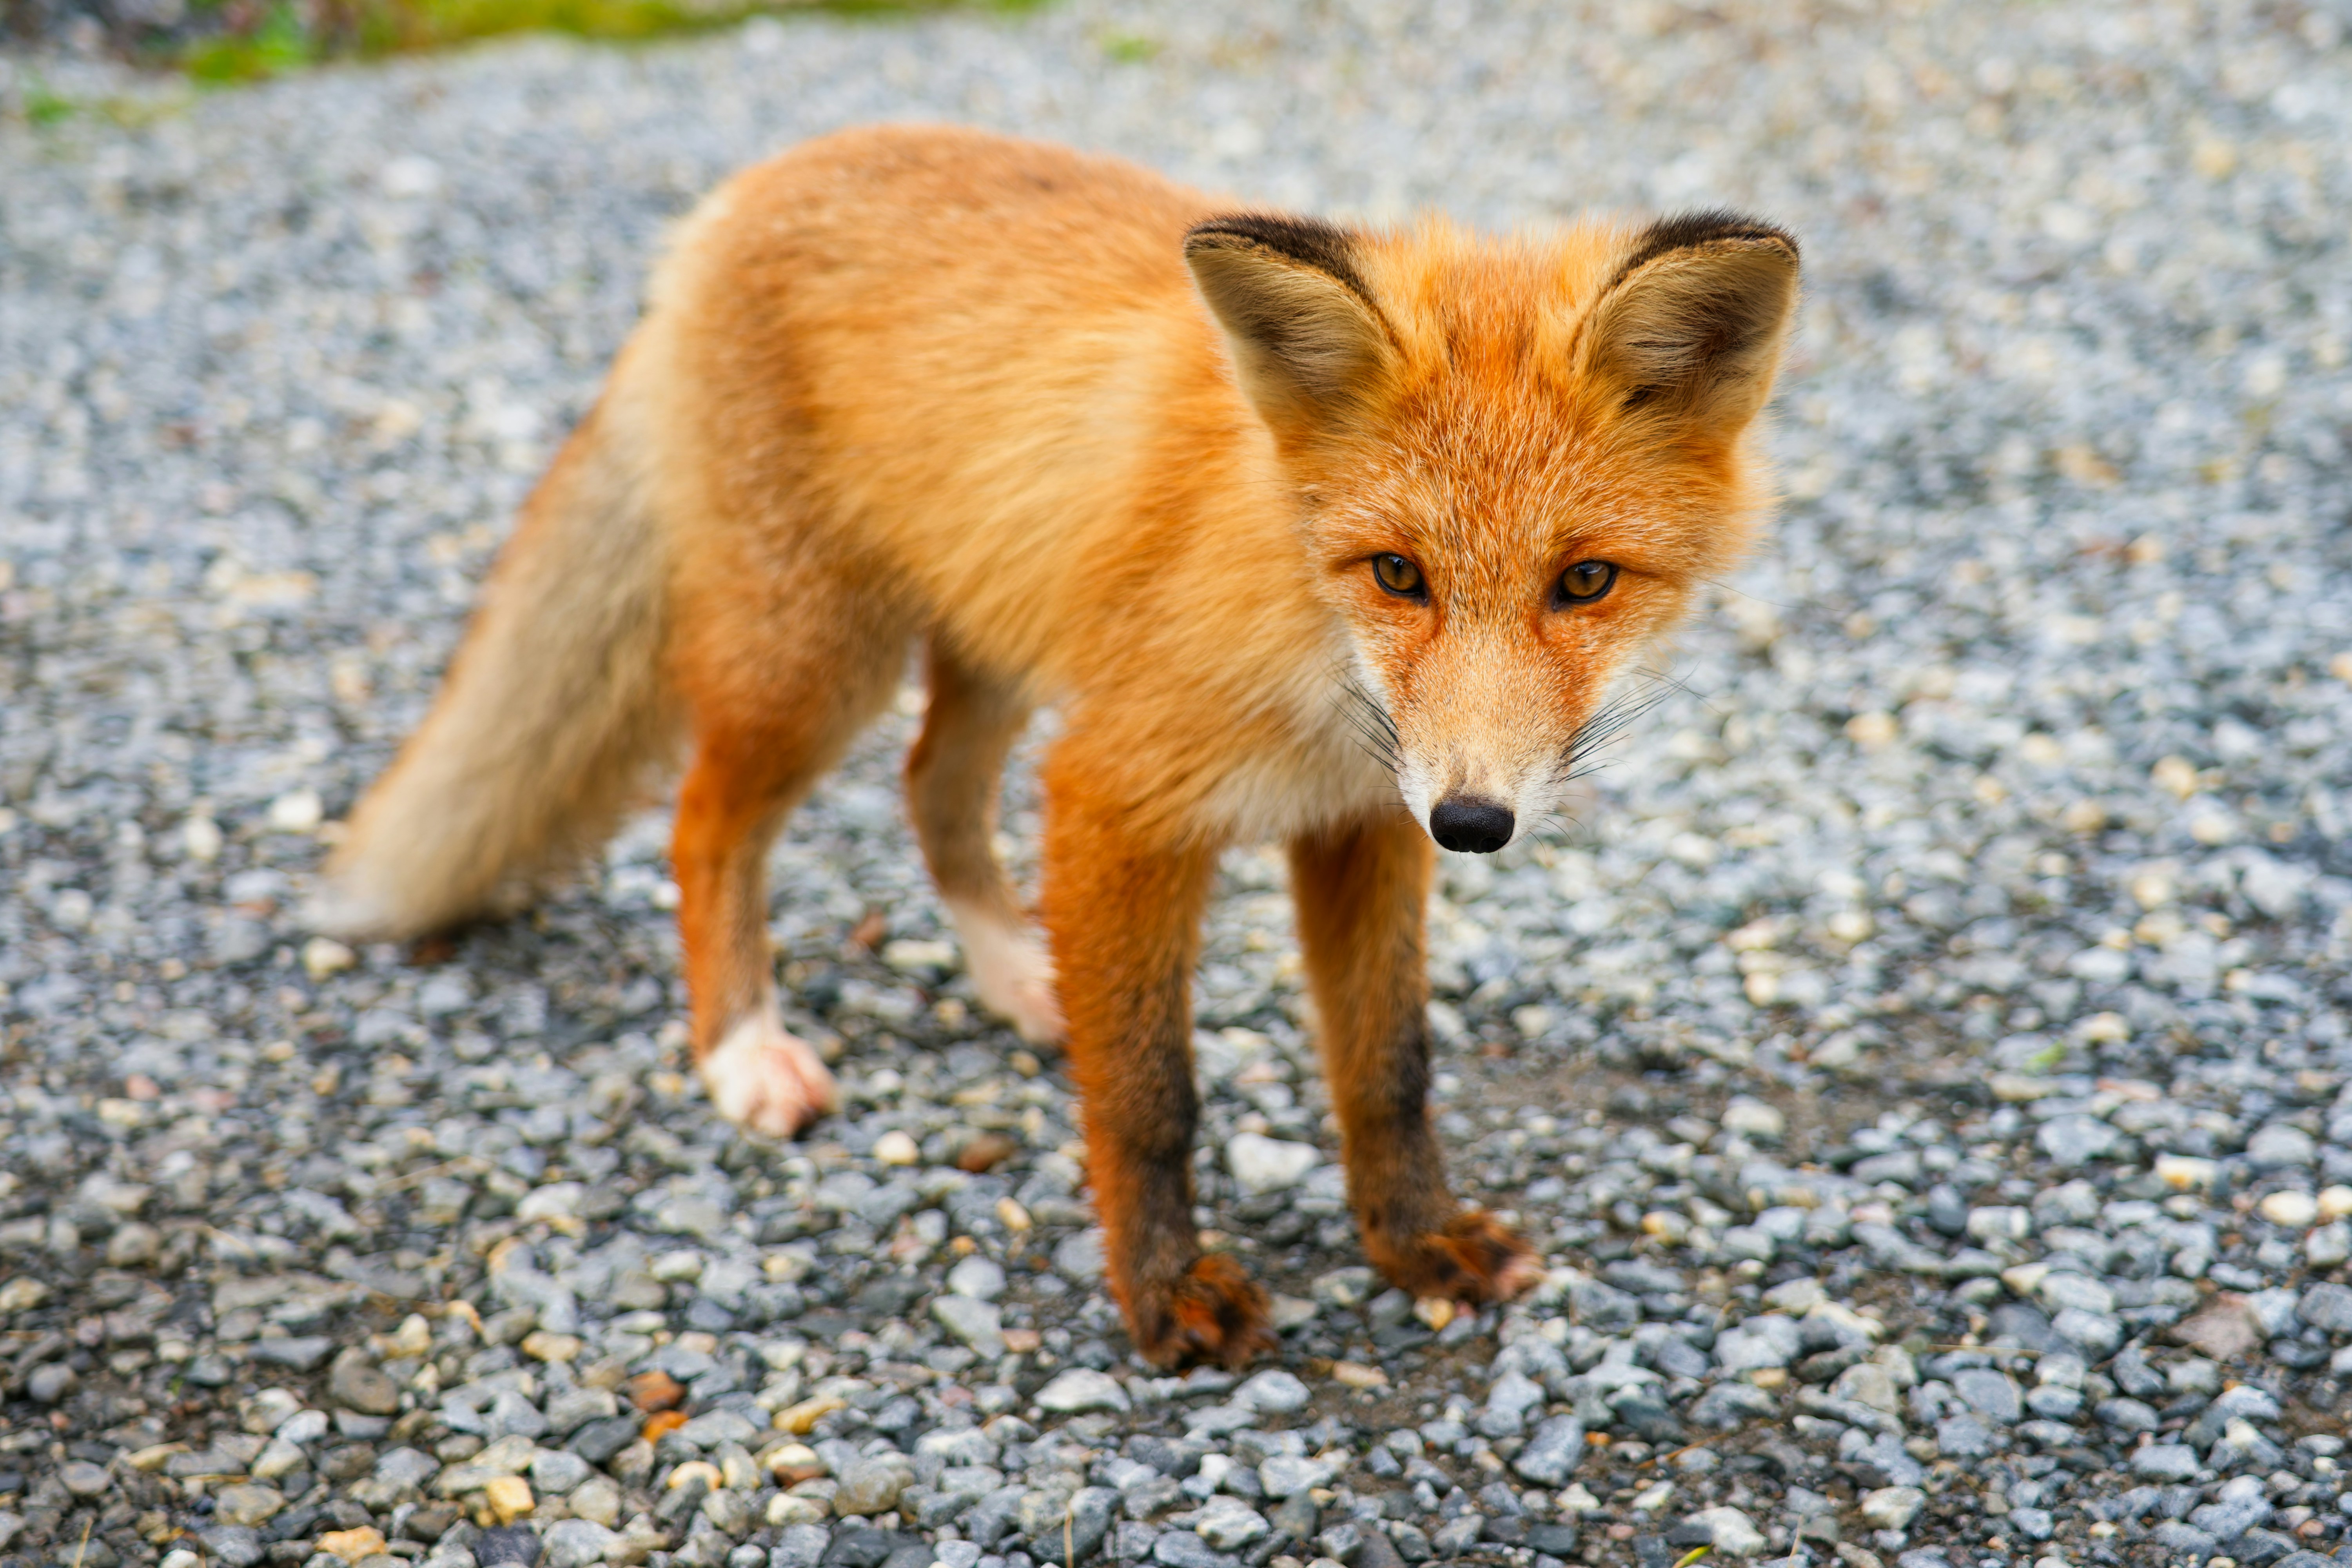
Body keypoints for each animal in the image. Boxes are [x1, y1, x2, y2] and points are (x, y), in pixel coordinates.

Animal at [318, 125, 1799, 1367]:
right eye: (1399, 575)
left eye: (1585, 583)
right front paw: (1165, 1297)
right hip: (816, 667)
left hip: (991, 647)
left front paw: (1415, 1241)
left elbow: (1389, 1072)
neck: (1307, 651)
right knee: (705, 826)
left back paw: (1026, 979)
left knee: (931, 791)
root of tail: (752, 185)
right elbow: (1149, 1099)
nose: (1477, 824)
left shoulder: (1361, 821)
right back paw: (743, 1046)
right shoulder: (1117, 794)